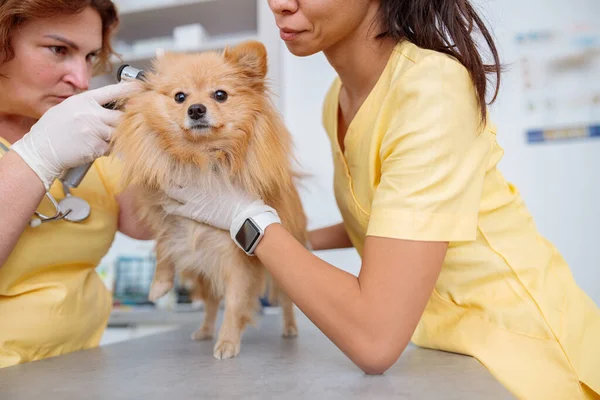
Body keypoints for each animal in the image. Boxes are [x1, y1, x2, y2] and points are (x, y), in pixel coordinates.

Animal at [111, 40, 310, 360]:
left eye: (220, 95)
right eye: (180, 97)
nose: (195, 109)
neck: (201, 159)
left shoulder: (237, 262)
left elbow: (235, 304)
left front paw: (227, 342)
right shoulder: (167, 215)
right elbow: (163, 247)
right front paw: (159, 284)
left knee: (285, 303)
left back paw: (289, 328)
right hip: (204, 272)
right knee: (211, 305)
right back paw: (204, 330)